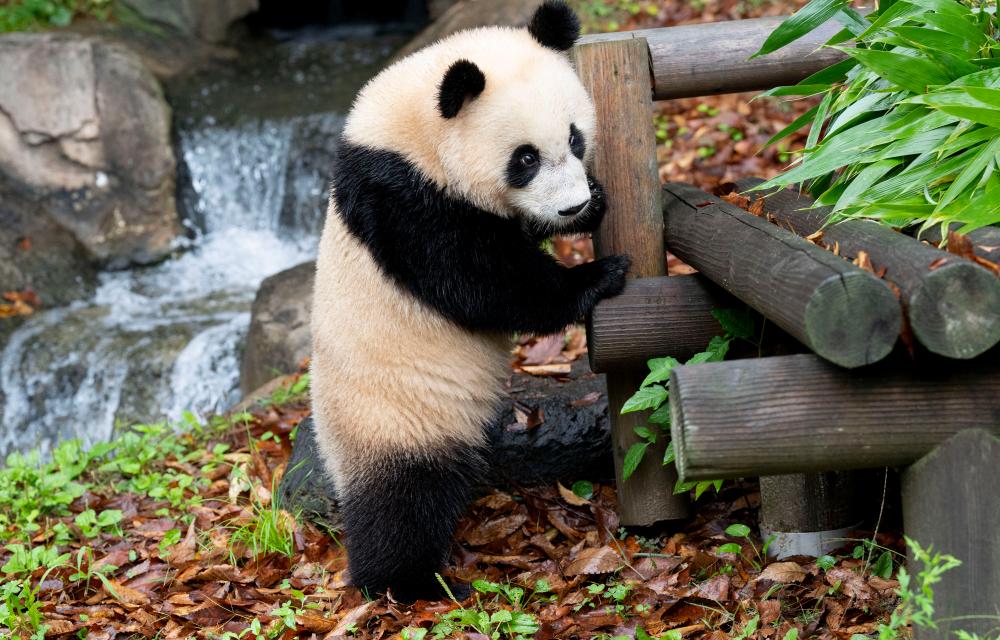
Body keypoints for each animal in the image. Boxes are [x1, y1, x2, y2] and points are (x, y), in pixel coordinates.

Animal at [308, 2, 628, 604]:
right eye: (524, 159)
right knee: (403, 505)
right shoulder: (403, 197)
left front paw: (594, 204)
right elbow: (481, 282)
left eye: (576, 138)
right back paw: (406, 583)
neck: (409, 129)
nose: (572, 207)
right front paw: (597, 277)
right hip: (394, 415)